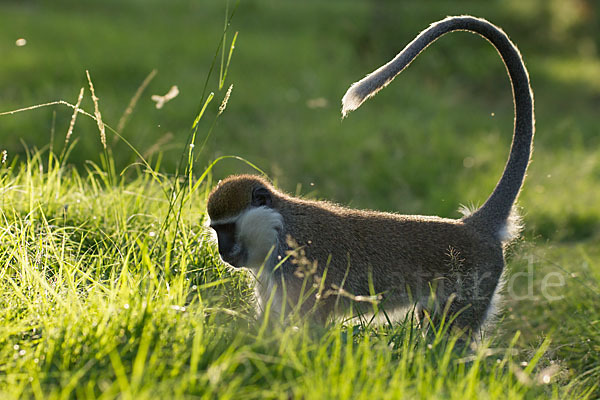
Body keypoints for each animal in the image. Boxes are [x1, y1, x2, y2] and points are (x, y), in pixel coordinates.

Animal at [207, 16, 536, 334]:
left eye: (228, 228)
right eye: (217, 230)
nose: (223, 252)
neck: (279, 226)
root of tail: (474, 227)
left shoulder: (301, 266)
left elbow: (308, 327)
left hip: (472, 285)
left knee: (449, 336)